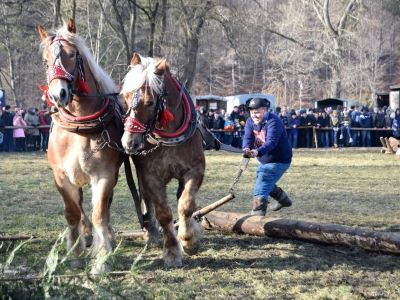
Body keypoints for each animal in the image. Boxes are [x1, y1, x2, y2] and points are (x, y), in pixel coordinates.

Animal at [38, 18, 125, 272]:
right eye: (45, 60)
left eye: (72, 54)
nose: (58, 94)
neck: (78, 127)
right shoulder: (61, 176)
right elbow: (72, 213)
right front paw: (75, 253)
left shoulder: (105, 174)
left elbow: (100, 213)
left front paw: (102, 257)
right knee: (80, 205)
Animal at [120, 53, 205, 268]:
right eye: (125, 98)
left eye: (150, 102)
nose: (129, 142)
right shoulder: (151, 176)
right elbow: (164, 213)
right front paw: (172, 251)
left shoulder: (195, 169)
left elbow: (186, 204)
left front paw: (189, 240)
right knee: (146, 200)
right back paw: (150, 232)